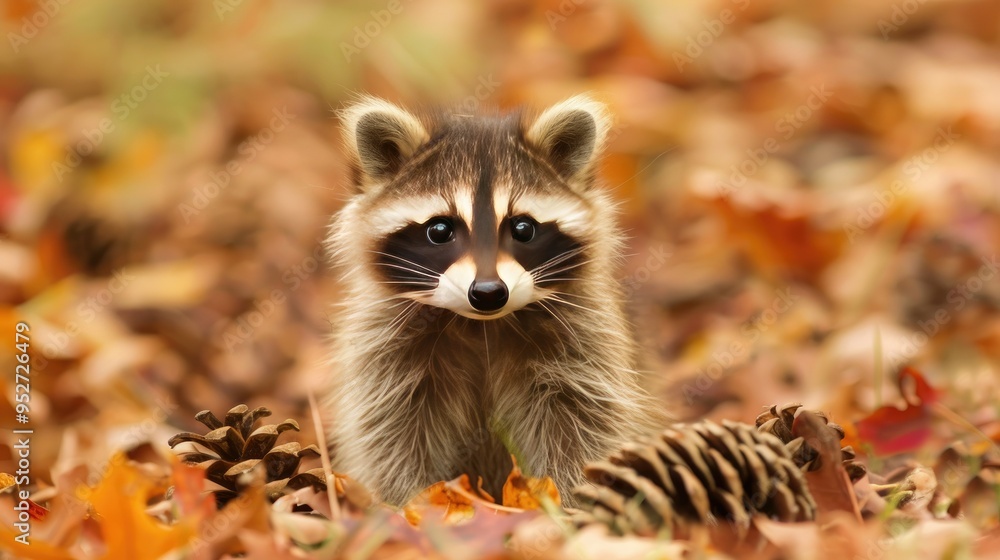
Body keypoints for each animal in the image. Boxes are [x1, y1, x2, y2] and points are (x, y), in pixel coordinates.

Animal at [324, 95, 658, 506]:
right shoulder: (385, 349)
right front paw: (412, 502)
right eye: (439, 229)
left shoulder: (584, 342)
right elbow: (392, 431)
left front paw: (571, 502)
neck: (480, 325)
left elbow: (582, 424)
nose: (487, 293)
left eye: (523, 228)